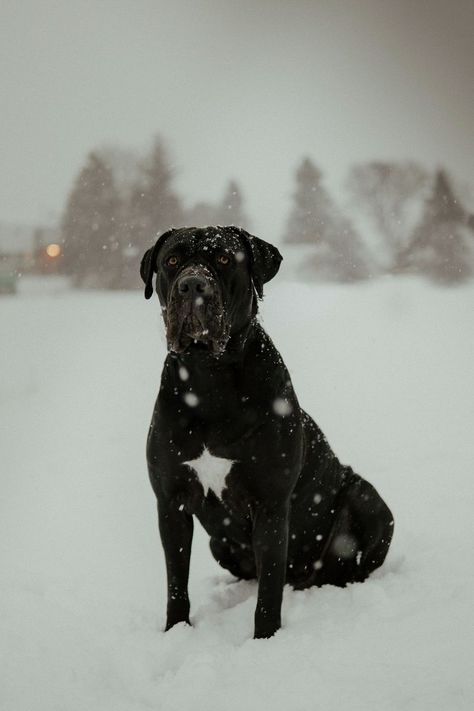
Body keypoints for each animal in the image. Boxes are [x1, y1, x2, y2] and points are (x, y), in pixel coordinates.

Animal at [140, 227, 392, 640]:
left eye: (224, 259)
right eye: (172, 261)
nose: (192, 284)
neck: (209, 377)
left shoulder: (270, 503)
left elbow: (270, 587)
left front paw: (265, 639)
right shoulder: (170, 500)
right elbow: (176, 579)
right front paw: (175, 630)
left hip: (369, 501)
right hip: (218, 543)